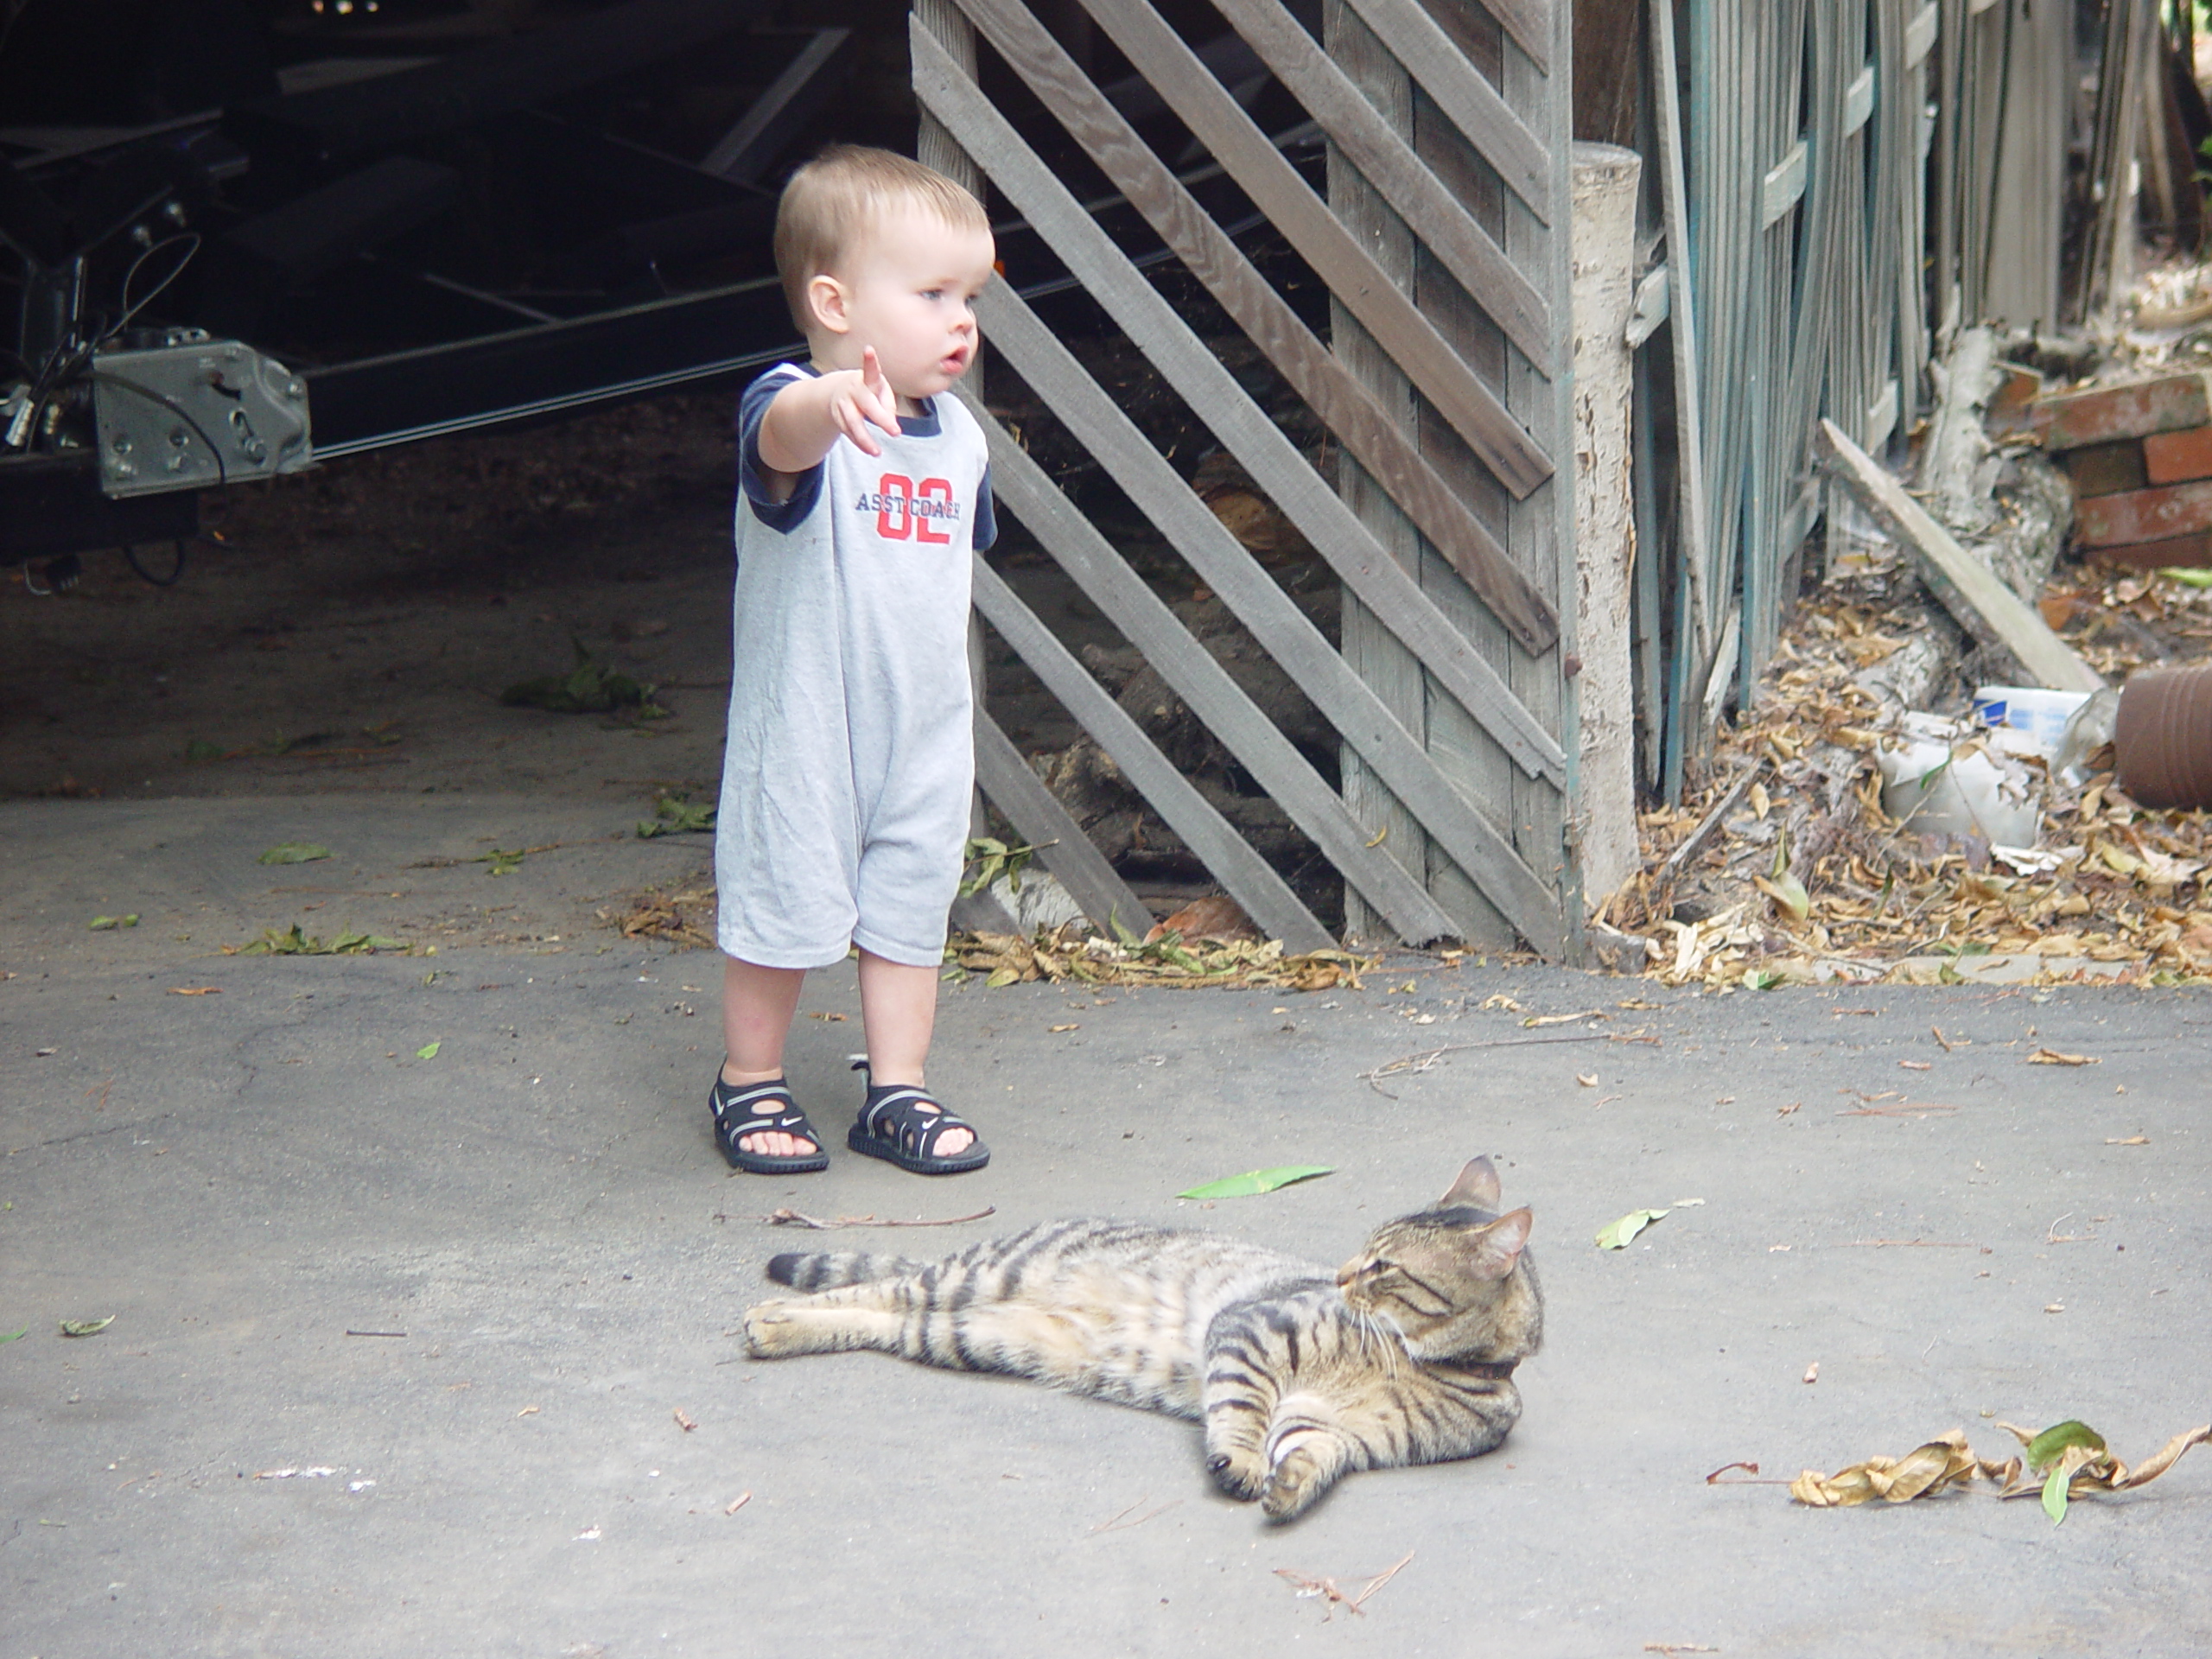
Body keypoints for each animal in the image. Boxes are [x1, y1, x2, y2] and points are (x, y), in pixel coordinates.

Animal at [743, 1159, 1539, 1522]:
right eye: (1363, 1253)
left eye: (1384, 1267)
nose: (1342, 1275)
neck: (1411, 1361)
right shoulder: (1251, 1330)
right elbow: (1242, 1409)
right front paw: (1239, 1460)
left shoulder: (1339, 1431)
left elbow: (1312, 1455)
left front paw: (1287, 1484)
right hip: (972, 1280)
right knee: (877, 1288)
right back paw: (771, 1317)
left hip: (964, 1333)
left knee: (884, 1317)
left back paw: (781, 1327)